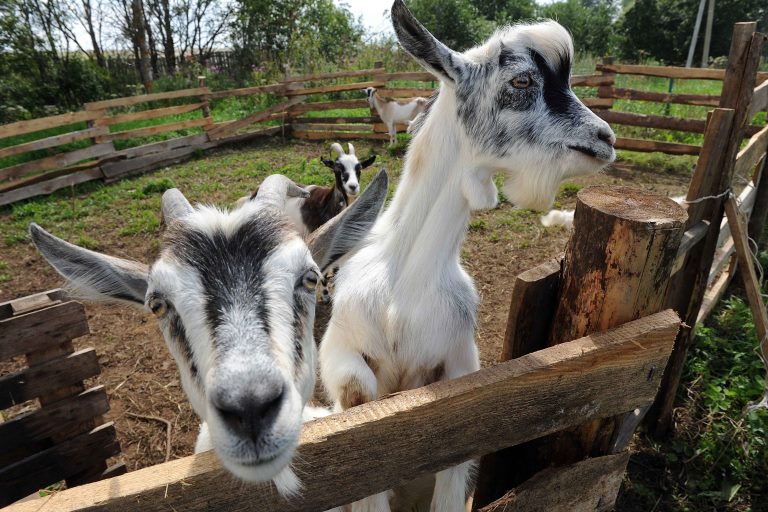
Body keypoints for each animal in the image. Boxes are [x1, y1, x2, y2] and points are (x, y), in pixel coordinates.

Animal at [320, 2, 616, 510]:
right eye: (522, 81)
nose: (606, 138)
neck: (406, 285)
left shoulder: (460, 375)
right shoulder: (339, 351)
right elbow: (357, 394)